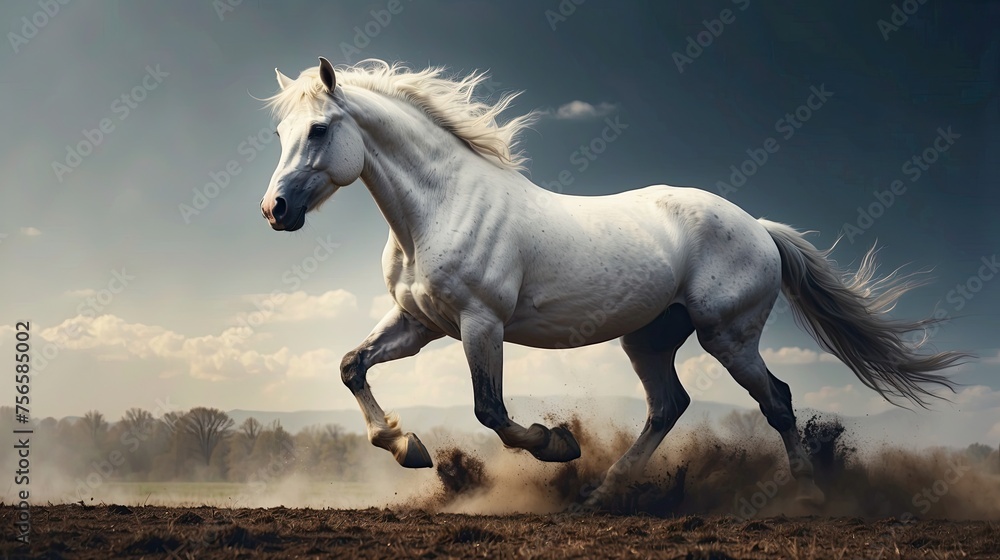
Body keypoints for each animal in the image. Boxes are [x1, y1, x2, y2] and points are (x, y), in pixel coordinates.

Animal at [258, 57, 969, 508]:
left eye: (319, 129)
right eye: (281, 132)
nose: (275, 210)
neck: (439, 208)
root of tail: (761, 228)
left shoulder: (480, 323)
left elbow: (492, 412)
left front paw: (557, 443)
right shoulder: (421, 323)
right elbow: (352, 366)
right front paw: (407, 447)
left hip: (728, 336)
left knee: (778, 400)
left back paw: (808, 492)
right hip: (650, 339)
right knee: (669, 406)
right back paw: (601, 494)